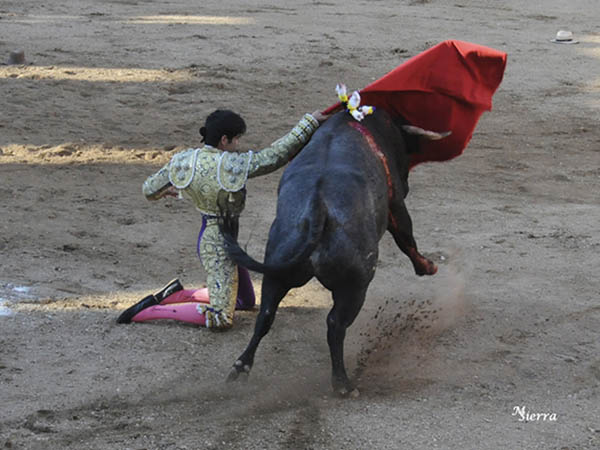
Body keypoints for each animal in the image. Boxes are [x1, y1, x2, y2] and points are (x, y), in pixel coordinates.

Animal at [220, 110, 446, 398]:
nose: (407, 179)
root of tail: (318, 209)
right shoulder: (396, 204)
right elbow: (406, 236)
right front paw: (427, 266)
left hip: (277, 271)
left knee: (266, 316)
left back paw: (240, 368)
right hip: (355, 285)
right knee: (336, 324)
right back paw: (343, 384)